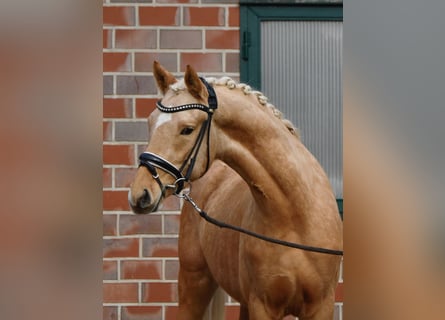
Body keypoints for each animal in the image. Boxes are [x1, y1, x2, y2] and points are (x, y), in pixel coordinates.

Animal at [126, 61, 342, 318]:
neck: (295, 214)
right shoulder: (262, 305)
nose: (140, 194)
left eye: (187, 129)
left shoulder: (321, 306)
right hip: (193, 283)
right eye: (150, 122)